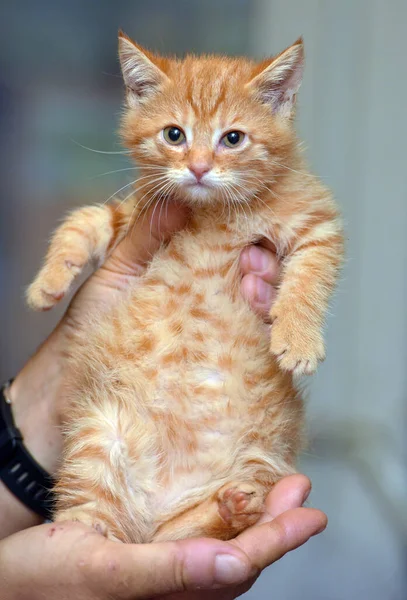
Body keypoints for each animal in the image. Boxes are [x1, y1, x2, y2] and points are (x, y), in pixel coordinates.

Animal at [26, 34, 344, 544]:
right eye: (174, 135)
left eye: (232, 138)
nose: (197, 168)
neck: (213, 211)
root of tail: (161, 500)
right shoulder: (136, 216)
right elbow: (86, 219)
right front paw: (48, 283)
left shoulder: (317, 225)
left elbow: (311, 276)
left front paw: (297, 340)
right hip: (102, 432)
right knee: (117, 524)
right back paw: (80, 538)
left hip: (262, 457)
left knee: (179, 533)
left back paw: (229, 509)